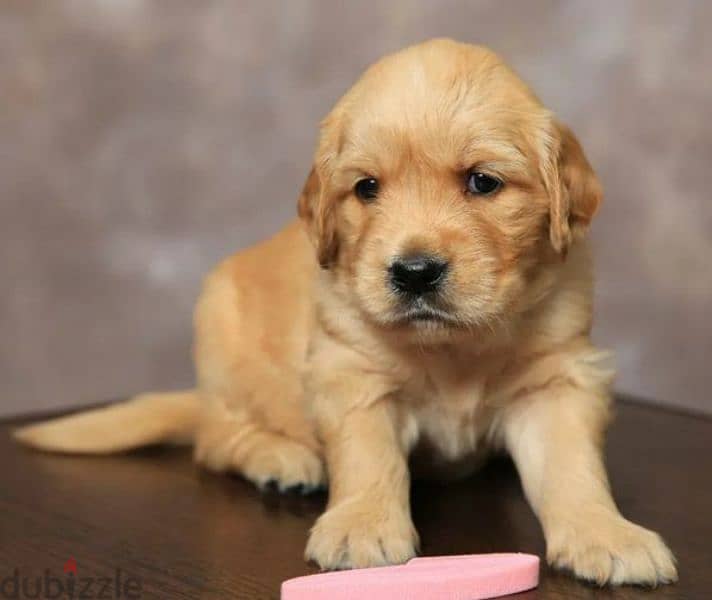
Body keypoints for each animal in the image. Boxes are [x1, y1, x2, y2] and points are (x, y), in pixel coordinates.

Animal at [13, 38, 676, 584]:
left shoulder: (559, 377)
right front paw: (363, 528)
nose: (414, 272)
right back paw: (280, 457)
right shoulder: (351, 372)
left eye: (483, 182)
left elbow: (574, 468)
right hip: (220, 330)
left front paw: (607, 534)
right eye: (366, 188)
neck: (455, 345)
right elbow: (369, 457)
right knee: (215, 438)